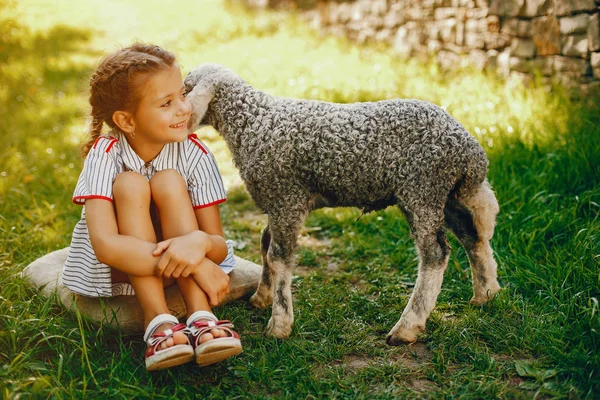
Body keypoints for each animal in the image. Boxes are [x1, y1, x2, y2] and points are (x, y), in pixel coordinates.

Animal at [184, 63, 502, 344]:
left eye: (186, 87)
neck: (252, 121)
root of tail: (470, 151)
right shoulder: (276, 202)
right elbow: (265, 245)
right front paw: (262, 297)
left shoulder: (287, 198)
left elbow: (278, 257)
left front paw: (280, 324)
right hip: (445, 196)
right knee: (472, 236)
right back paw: (485, 295)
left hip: (422, 190)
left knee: (435, 254)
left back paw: (407, 327)